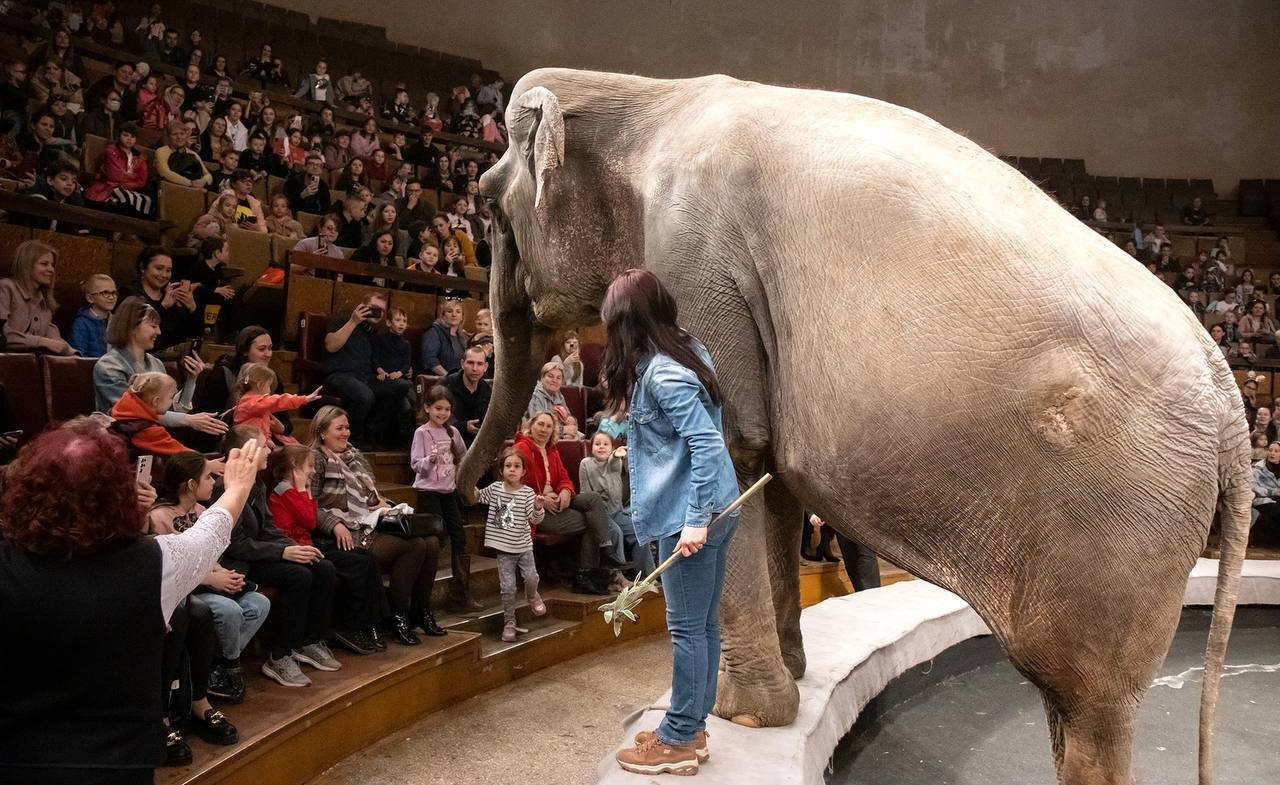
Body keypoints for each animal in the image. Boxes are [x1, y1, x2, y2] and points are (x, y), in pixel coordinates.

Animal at [457, 68, 1250, 785]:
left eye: (489, 206)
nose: (471, 493)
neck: (646, 96)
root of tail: (1231, 401)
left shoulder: (695, 259)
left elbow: (736, 447)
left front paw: (743, 715)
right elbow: (769, 476)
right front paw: (790, 682)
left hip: (1126, 536)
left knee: (1092, 715)